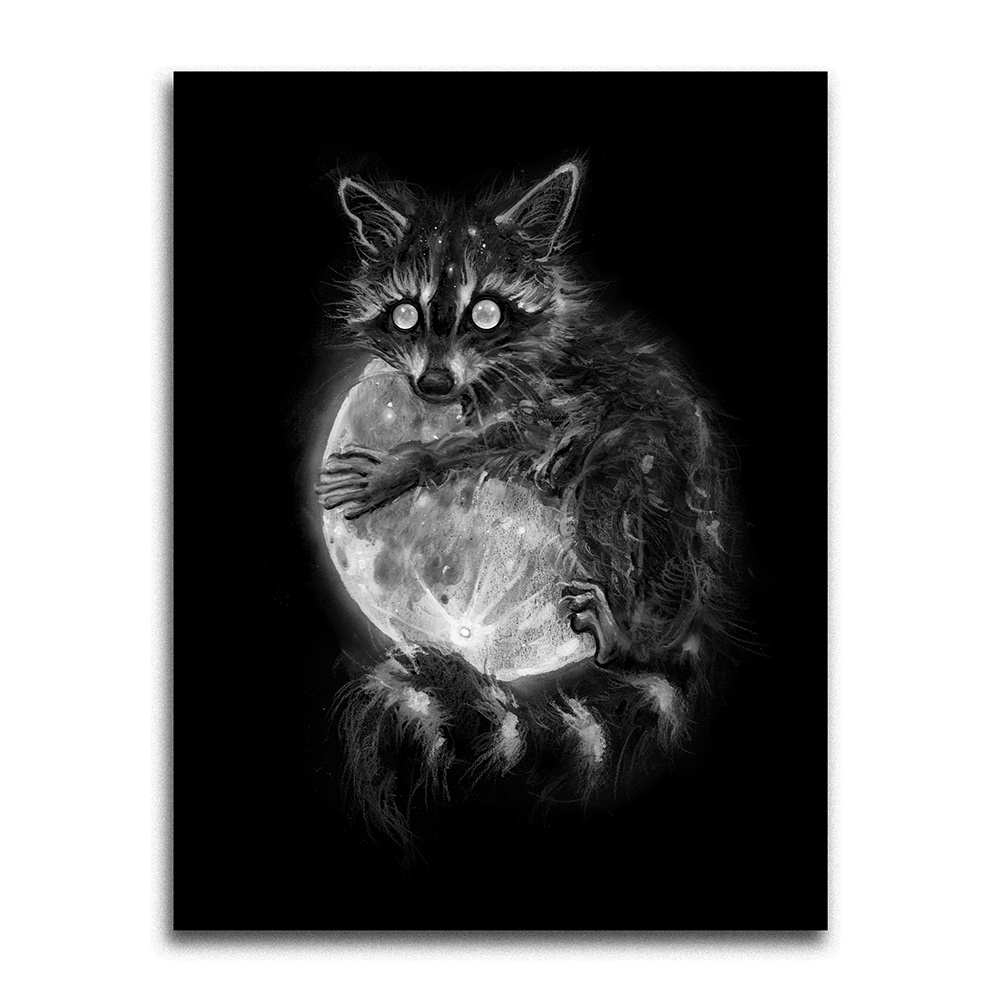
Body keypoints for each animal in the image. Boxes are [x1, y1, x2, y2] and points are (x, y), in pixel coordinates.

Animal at [315, 160, 744, 845]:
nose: (432, 384)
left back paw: (628, 641)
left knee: (602, 492)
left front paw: (408, 463)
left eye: (486, 313)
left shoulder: (569, 397)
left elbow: (514, 436)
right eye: (405, 316)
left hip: (644, 485)